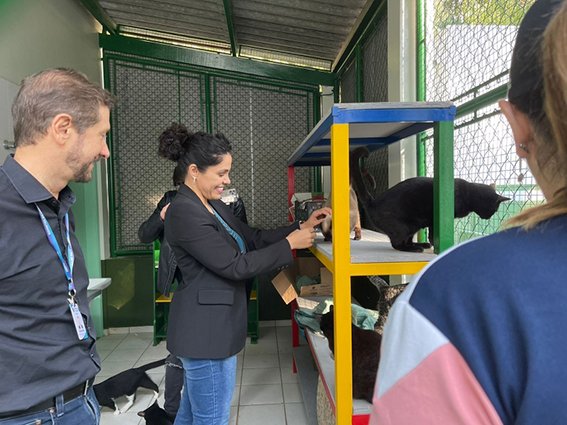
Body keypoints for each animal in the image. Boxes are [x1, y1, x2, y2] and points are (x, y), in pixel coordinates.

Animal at [350, 146, 510, 252]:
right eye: (495, 209)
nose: (488, 218)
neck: (468, 195)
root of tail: (373, 202)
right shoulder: (436, 218)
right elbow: (433, 232)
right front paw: (436, 244)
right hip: (404, 226)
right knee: (396, 244)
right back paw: (414, 248)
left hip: (414, 226)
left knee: (406, 240)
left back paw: (419, 245)